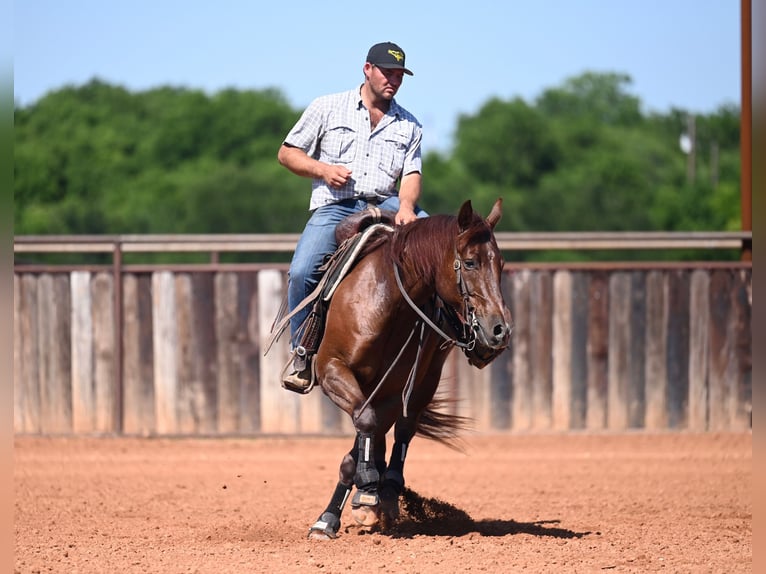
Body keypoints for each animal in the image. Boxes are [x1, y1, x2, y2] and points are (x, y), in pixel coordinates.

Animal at [302, 198, 512, 539]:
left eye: (502, 264)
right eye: (470, 263)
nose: (500, 330)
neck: (386, 300)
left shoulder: (398, 387)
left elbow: (381, 430)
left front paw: (376, 494)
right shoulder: (332, 368)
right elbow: (366, 423)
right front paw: (360, 495)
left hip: (415, 383)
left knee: (396, 430)